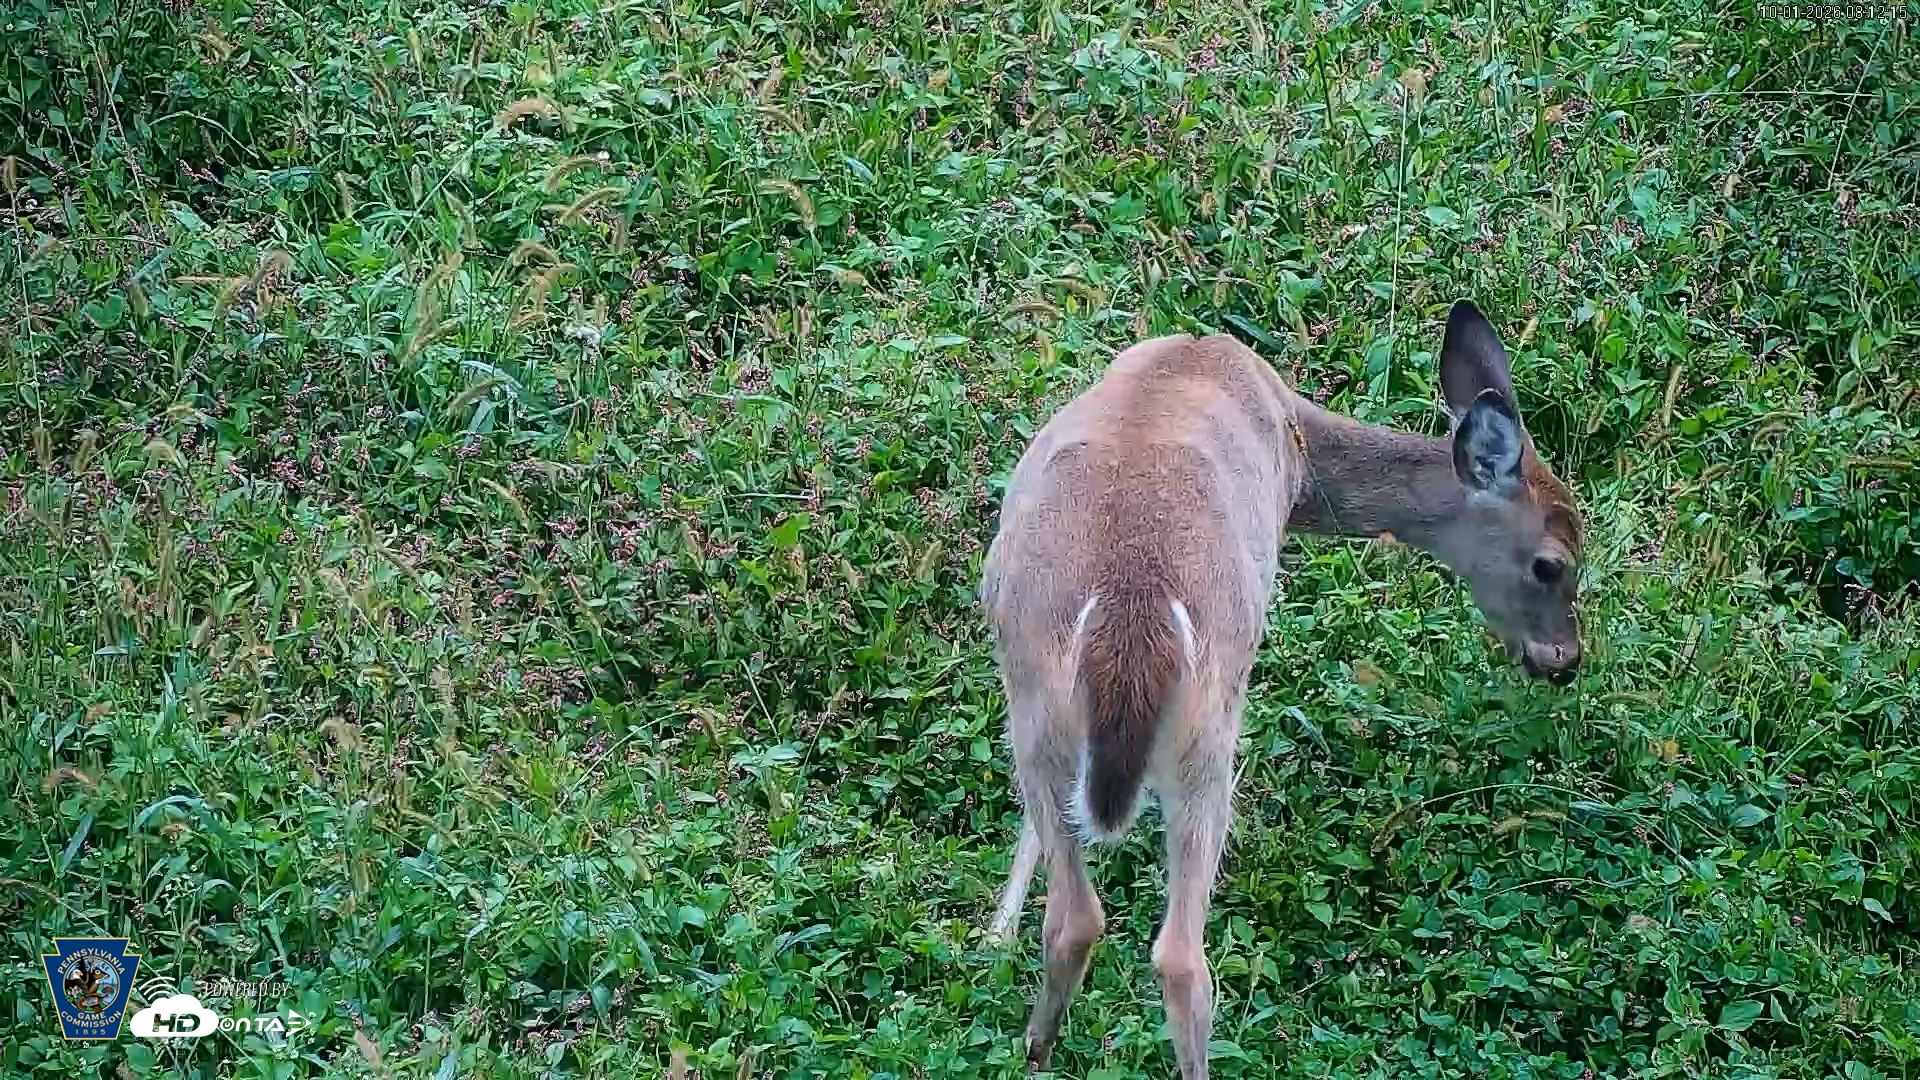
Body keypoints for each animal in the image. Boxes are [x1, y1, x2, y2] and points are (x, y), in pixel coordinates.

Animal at [978, 301, 1583, 1078]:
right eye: (1552, 563)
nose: (1564, 658)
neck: (1299, 442)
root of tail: (1128, 618)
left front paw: (995, 932)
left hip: (1053, 699)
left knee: (1086, 920)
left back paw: (1034, 1046)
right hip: (1204, 730)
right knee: (1164, 949)